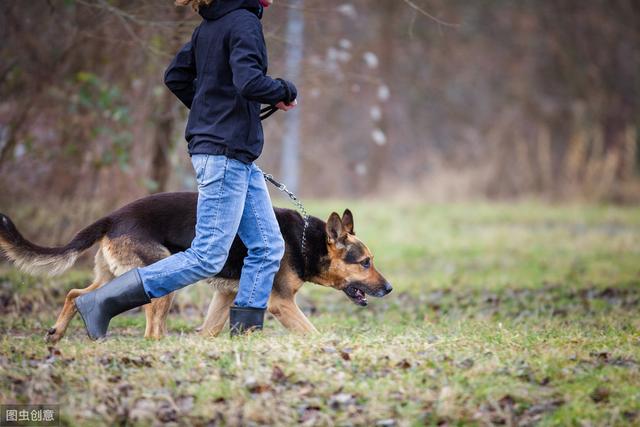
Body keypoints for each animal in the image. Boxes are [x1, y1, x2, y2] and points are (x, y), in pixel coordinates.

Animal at [0, 194, 392, 344]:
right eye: (366, 262)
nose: (389, 289)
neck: (308, 240)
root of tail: (113, 216)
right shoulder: (281, 303)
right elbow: (312, 331)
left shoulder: (226, 297)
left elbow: (210, 329)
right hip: (163, 280)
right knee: (150, 327)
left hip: (111, 275)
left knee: (77, 294)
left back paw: (57, 332)